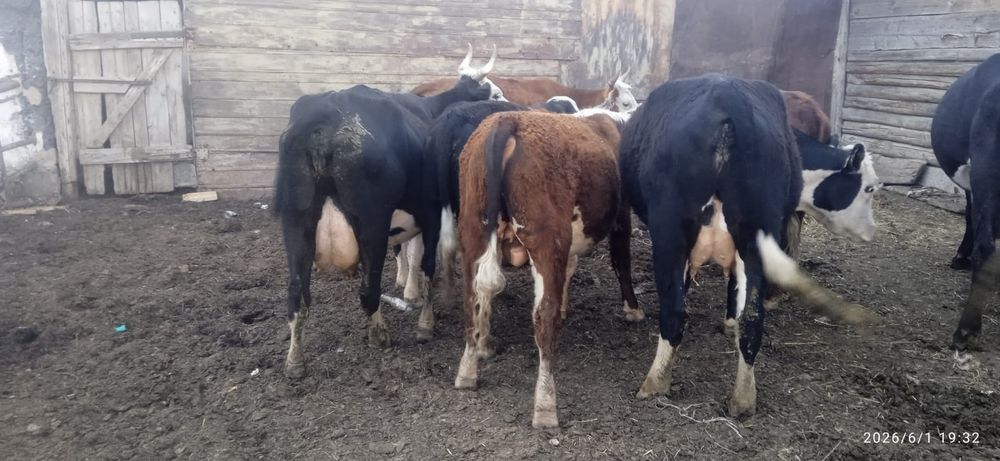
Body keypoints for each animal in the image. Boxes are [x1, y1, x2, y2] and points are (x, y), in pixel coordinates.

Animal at [273, 64, 496, 379]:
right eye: (491, 91)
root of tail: (325, 111)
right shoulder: (431, 217)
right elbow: (426, 265)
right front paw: (425, 320)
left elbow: (411, 256)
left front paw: (409, 291)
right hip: (371, 222)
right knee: (369, 289)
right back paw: (379, 334)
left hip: (296, 220)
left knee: (296, 293)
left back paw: (294, 360)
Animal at [453, 110, 640, 428]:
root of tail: (507, 120)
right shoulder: (621, 216)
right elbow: (621, 260)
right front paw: (633, 309)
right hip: (546, 240)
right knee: (543, 317)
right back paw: (545, 405)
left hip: (473, 230)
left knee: (472, 298)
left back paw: (467, 370)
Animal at [619, 74, 877, 418]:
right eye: (870, 188)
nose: (872, 231)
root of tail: (729, 99)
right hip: (747, 233)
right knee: (752, 318)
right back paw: (742, 399)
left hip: (671, 233)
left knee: (676, 311)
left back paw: (656, 384)